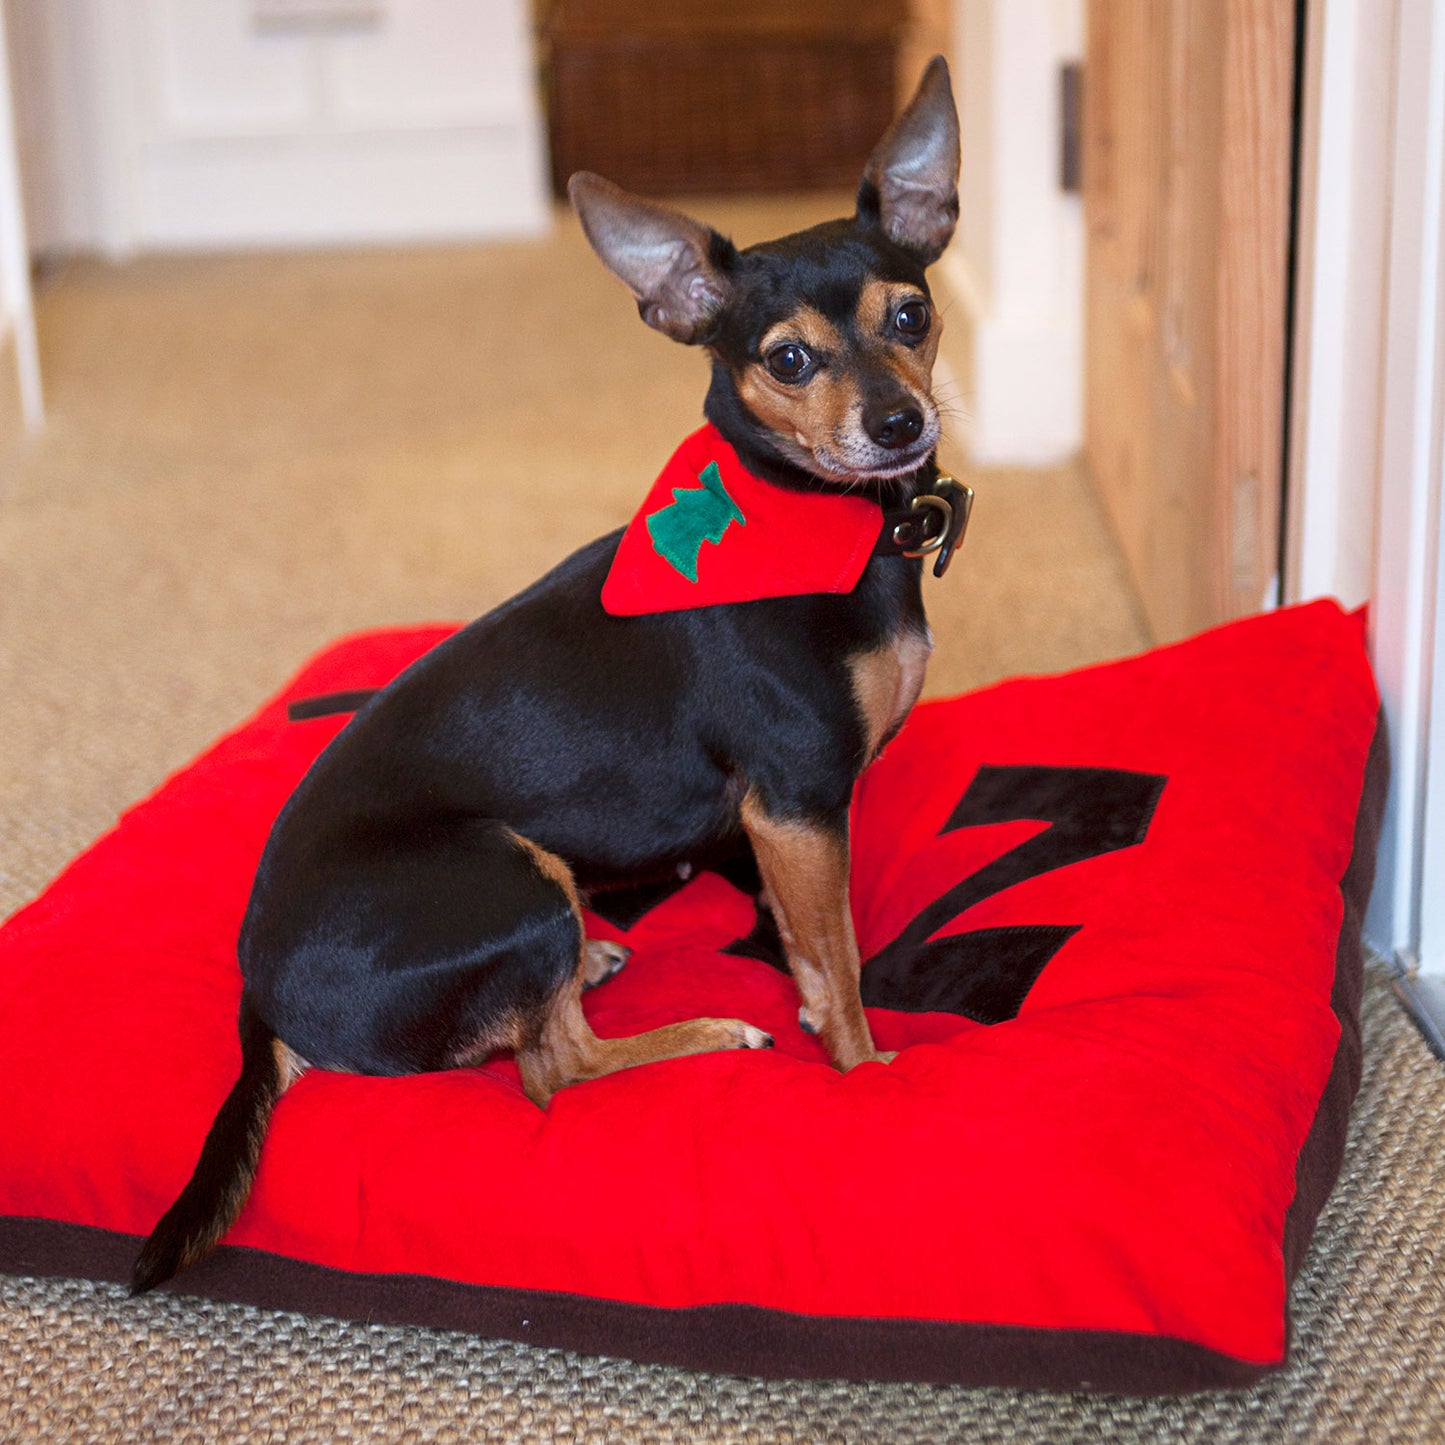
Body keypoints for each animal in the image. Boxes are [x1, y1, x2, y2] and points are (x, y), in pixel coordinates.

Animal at [135, 59, 965, 1300]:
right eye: (786, 359)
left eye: (908, 316)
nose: (898, 420)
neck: (820, 523)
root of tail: (257, 993)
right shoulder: (799, 806)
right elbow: (840, 966)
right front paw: (866, 1075)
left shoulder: (782, 830)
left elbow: (804, 945)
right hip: (515, 875)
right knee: (549, 1071)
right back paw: (703, 1032)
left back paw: (610, 955)